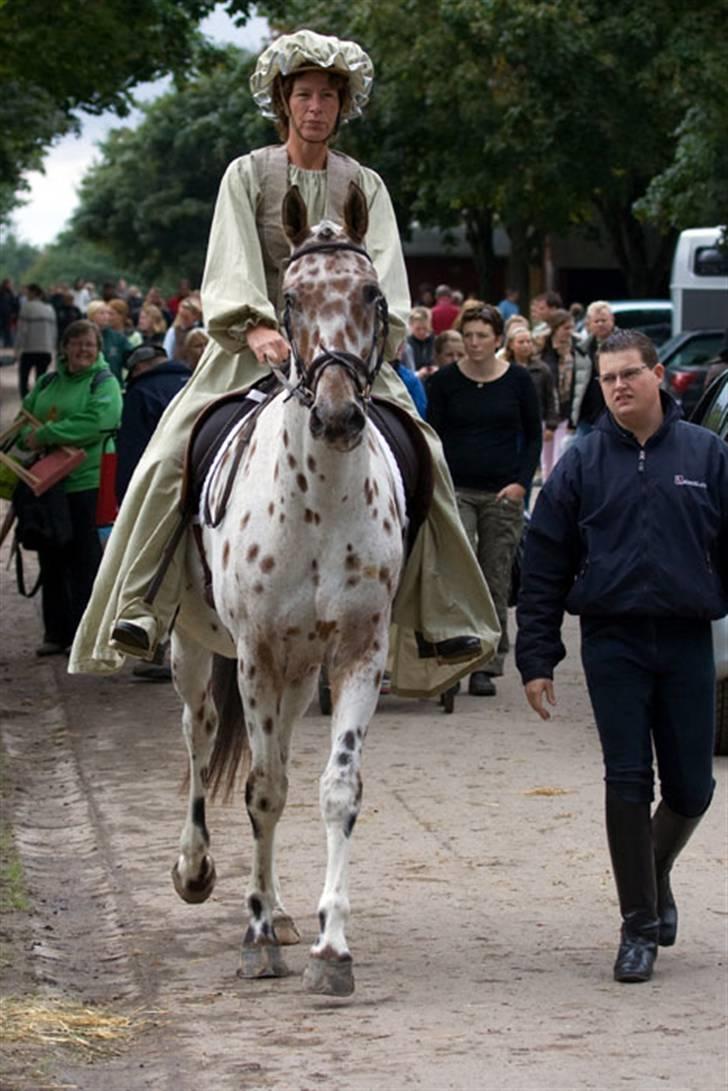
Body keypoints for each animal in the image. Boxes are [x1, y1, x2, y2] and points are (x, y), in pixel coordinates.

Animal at [171, 181, 410, 999]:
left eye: (373, 294)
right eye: (288, 298)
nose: (337, 415)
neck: (319, 506)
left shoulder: (358, 653)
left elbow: (335, 789)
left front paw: (332, 947)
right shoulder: (255, 653)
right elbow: (262, 789)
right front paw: (253, 939)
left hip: (302, 674)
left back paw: (276, 911)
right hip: (195, 650)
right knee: (201, 732)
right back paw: (199, 872)